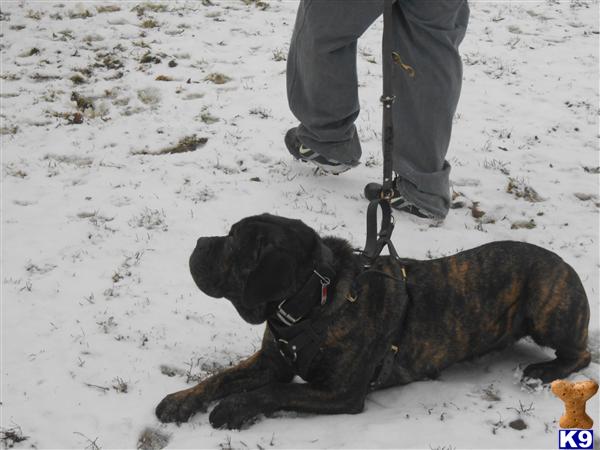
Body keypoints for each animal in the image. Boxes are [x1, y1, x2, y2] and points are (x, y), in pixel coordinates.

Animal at [155, 213, 592, 428]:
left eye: (232, 243)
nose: (198, 243)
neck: (312, 302)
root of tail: (565, 264)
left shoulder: (340, 392)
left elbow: (274, 392)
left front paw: (233, 408)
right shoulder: (270, 361)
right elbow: (221, 377)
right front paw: (181, 401)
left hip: (546, 309)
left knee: (581, 354)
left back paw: (543, 370)